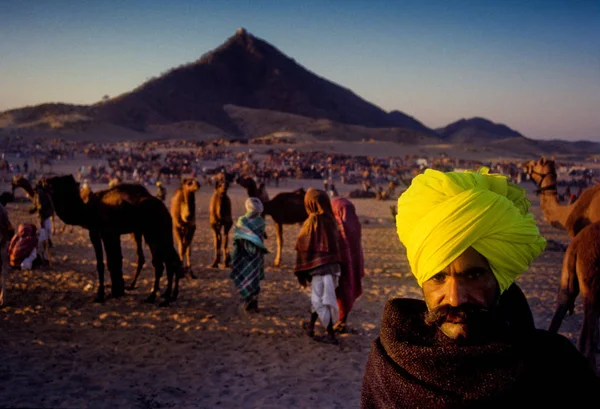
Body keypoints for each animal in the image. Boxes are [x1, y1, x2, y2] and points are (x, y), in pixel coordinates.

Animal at [40, 174, 183, 304]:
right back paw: (169, 296)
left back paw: (153, 297)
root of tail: (165, 209)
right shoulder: (113, 233)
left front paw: (101, 295)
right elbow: (116, 259)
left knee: (160, 264)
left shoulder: (99, 231)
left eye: (56, 181)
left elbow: (105, 262)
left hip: (152, 233)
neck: (87, 210)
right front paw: (117, 291)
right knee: (171, 260)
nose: (43, 181)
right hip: (162, 233)